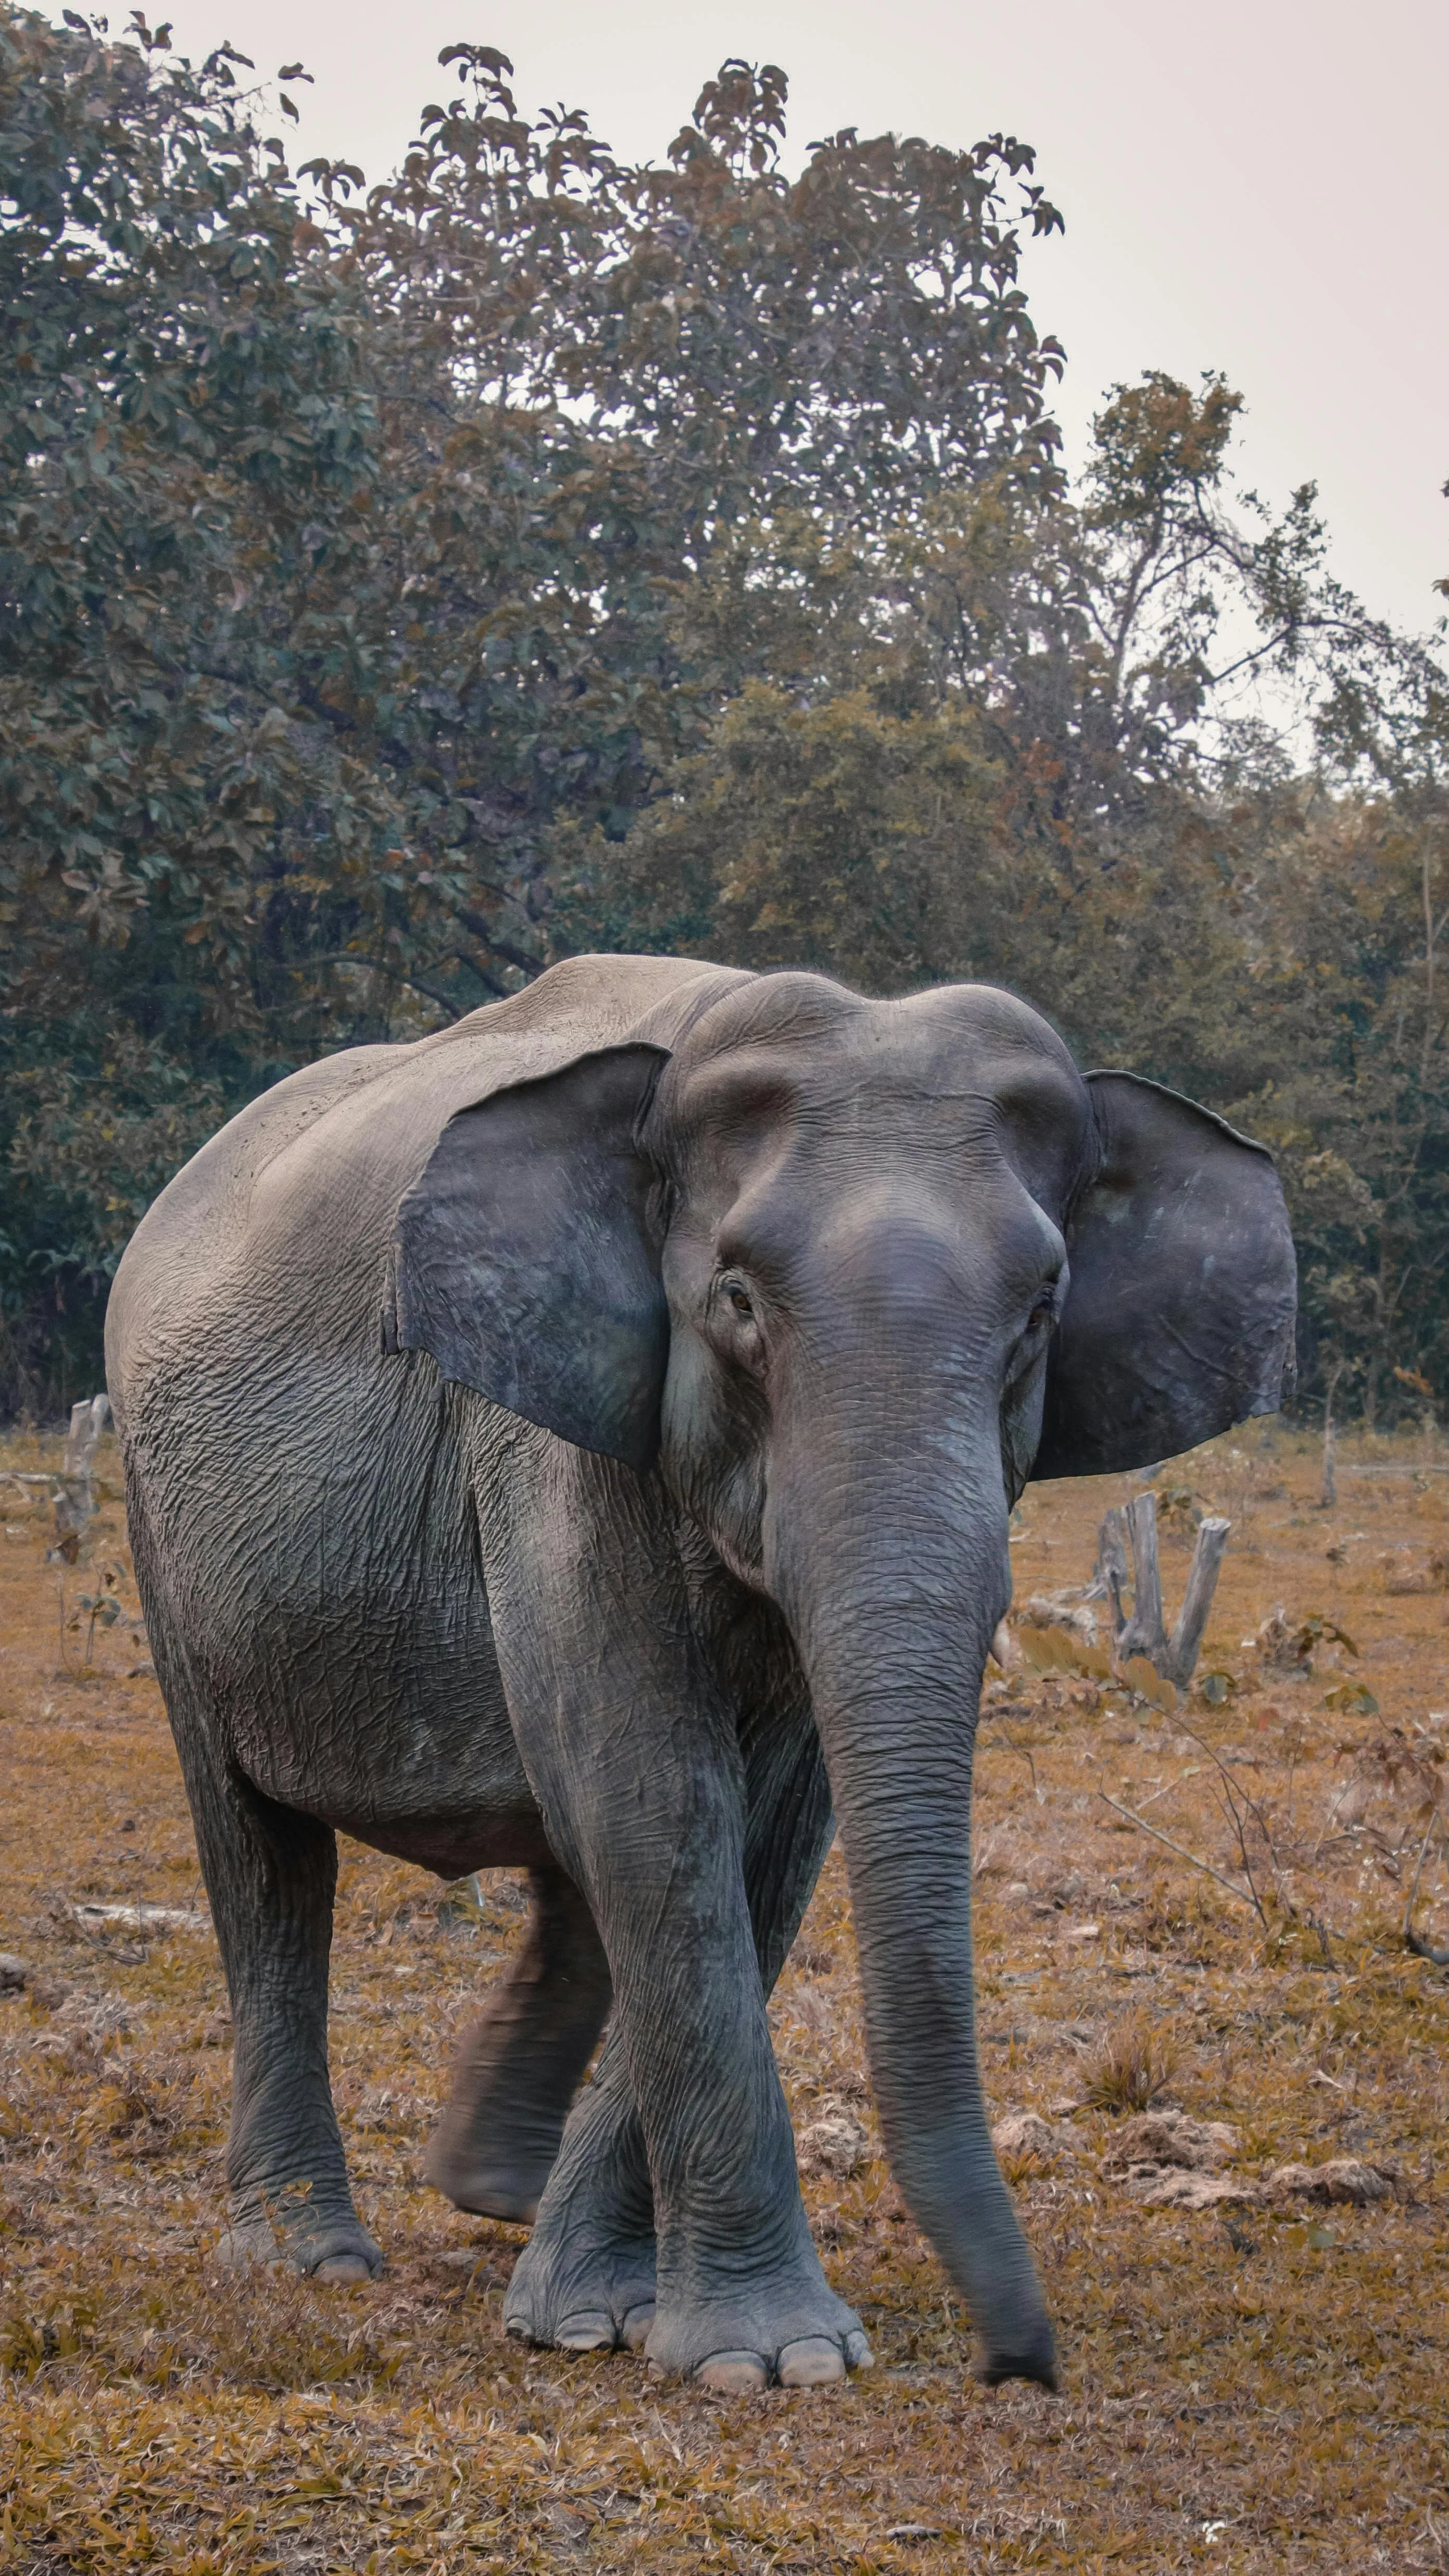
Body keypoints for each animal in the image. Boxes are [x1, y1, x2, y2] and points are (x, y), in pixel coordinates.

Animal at [105, 953, 1295, 2392]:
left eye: (1040, 1312)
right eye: (735, 1300)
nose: (1018, 2365)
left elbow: (766, 1830)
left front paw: (597, 2317)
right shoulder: (541, 1434)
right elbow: (656, 1791)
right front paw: (768, 2359)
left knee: (558, 1868)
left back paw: (494, 2189)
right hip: (159, 1525)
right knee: (263, 1853)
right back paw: (311, 2255)